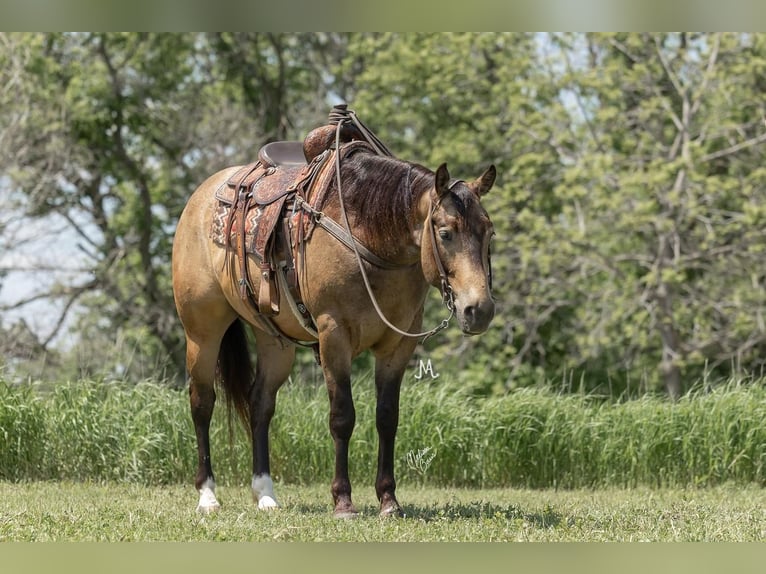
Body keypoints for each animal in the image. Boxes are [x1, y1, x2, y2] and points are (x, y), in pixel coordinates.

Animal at [172, 106, 498, 520]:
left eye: (489, 232)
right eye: (445, 232)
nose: (479, 309)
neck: (370, 237)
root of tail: (199, 199)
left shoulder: (397, 345)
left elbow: (387, 418)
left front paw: (389, 500)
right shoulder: (333, 335)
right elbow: (342, 416)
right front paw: (343, 500)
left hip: (275, 342)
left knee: (260, 404)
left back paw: (266, 494)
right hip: (202, 330)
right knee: (202, 402)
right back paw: (208, 495)